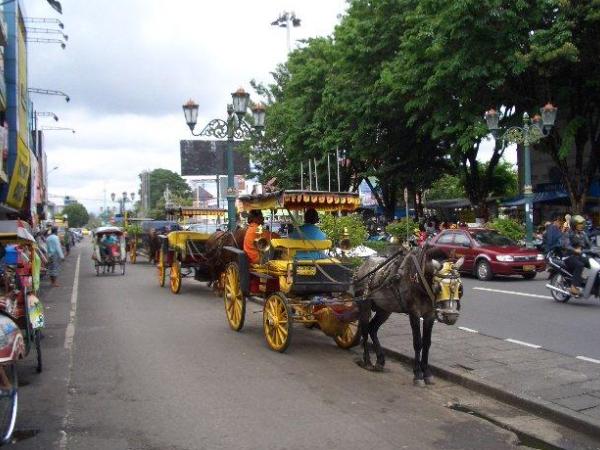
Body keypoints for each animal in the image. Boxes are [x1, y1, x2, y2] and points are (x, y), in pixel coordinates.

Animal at [352, 246, 464, 386]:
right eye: (438, 288)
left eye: (460, 288)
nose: (451, 316)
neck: (419, 279)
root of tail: (361, 267)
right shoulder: (414, 313)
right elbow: (417, 343)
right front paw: (418, 374)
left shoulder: (430, 315)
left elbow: (427, 343)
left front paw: (427, 373)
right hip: (365, 304)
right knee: (365, 329)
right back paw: (367, 361)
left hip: (385, 309)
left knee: (373, 329)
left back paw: (380, 360)